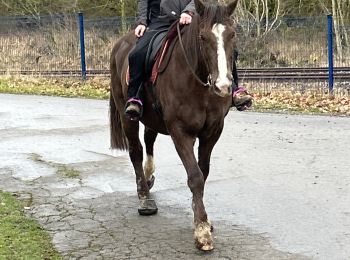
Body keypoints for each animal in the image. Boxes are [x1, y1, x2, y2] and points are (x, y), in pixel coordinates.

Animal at [110, 0, 239, 252]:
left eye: (232, 34)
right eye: (202, 37)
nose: (223, 86)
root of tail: (120, 44)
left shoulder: (212, 132)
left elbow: (203, 173)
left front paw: (202, 218)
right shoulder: (181, 133)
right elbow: (195, 176)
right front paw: (202, 231)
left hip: (152, 118)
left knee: (149, 141)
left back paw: (149, 177)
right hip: (126, 115)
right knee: (136, 151)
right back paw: (144, 197)